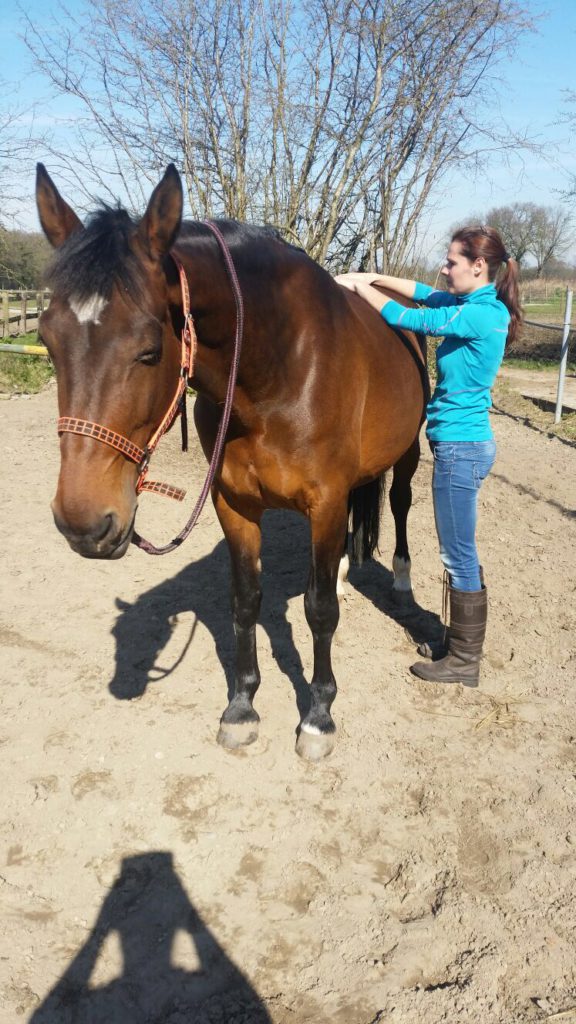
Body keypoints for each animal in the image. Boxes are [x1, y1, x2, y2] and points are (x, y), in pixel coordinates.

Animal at [35, 163, 428, 760]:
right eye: (47, 341)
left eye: (149, 350)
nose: (84, 524)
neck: (281, 368)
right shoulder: (235, 503)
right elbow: (245, 601)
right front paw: (242, 709)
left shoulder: (326, 502)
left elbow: (318, 612)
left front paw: (318, 717)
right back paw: (341, 572)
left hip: (408, 452)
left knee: (401, 504)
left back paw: (401, 581)